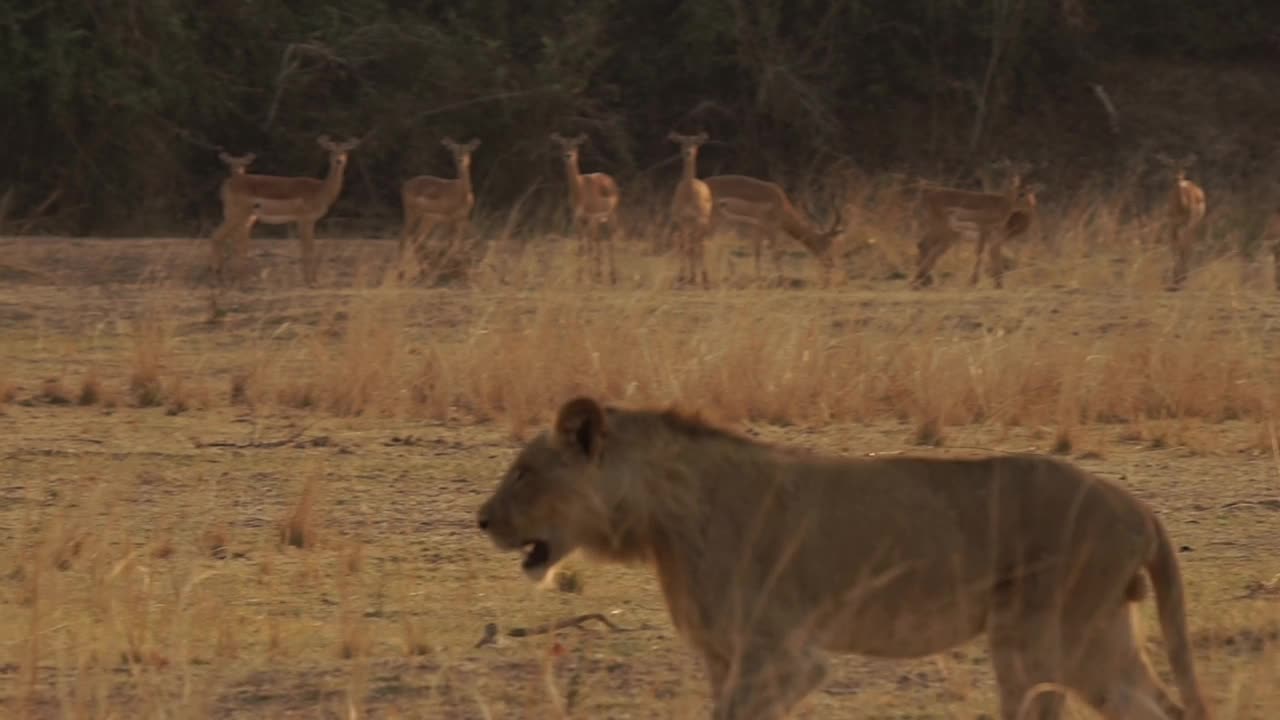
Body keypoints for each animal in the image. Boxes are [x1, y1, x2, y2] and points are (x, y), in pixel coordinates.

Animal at [478, 394, 1208, 712]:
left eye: (524, 473)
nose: (481, 520)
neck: (661, 517)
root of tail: (1138, 507)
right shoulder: (725, 656)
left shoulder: (782, 655)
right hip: (1096, 638)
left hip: (1037, 637)